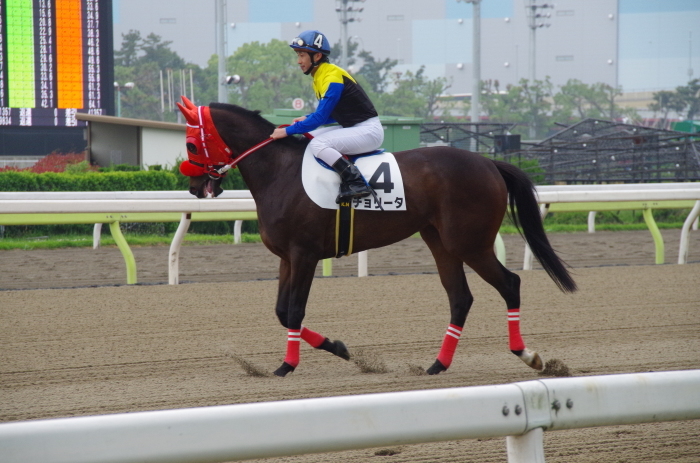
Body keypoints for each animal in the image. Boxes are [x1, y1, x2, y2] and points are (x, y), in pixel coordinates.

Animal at [175, 98, 576, 376]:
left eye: (191, 145)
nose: (194, 188)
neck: (281, 172)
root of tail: (489, 162)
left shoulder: (304, 254)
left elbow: (294, 310)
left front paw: (287, 366)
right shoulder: (287, 257)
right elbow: (282, 312)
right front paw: (338, 347)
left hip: (470, 243)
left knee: (509, 284)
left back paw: (528, 355)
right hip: (440, 241)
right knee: (460, 297)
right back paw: (437, 364)